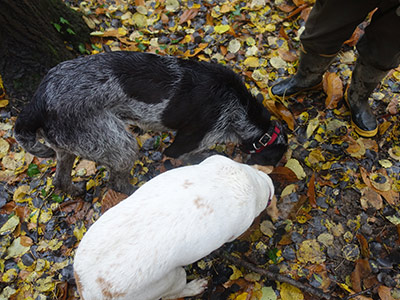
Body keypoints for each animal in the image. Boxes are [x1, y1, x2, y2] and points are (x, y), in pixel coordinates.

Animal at [13, 51, 288, 196]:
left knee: (60, 179)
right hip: (119, 144)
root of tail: (38, 101)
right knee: (117, 182)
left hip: (68, 146)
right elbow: (190, 156)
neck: (239, 108)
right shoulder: (185, 144)